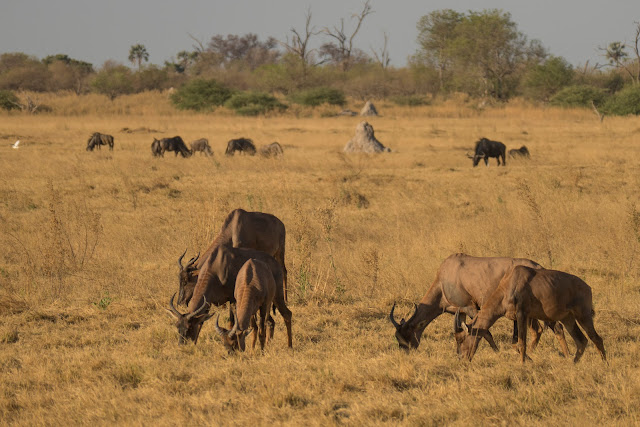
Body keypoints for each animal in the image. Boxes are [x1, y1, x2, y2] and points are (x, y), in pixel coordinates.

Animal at [460, 268, 604, 364]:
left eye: (463, 339)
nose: (463, 359)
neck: (512, 281)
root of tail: (587, 287)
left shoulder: (522, 315)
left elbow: (521, 343)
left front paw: (522, 364)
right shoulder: (520, 317)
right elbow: (517, 343)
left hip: (583, 315)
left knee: (596, 338)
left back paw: (604, 364)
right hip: (568, 319)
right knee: (581, 340)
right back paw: (573, 363)